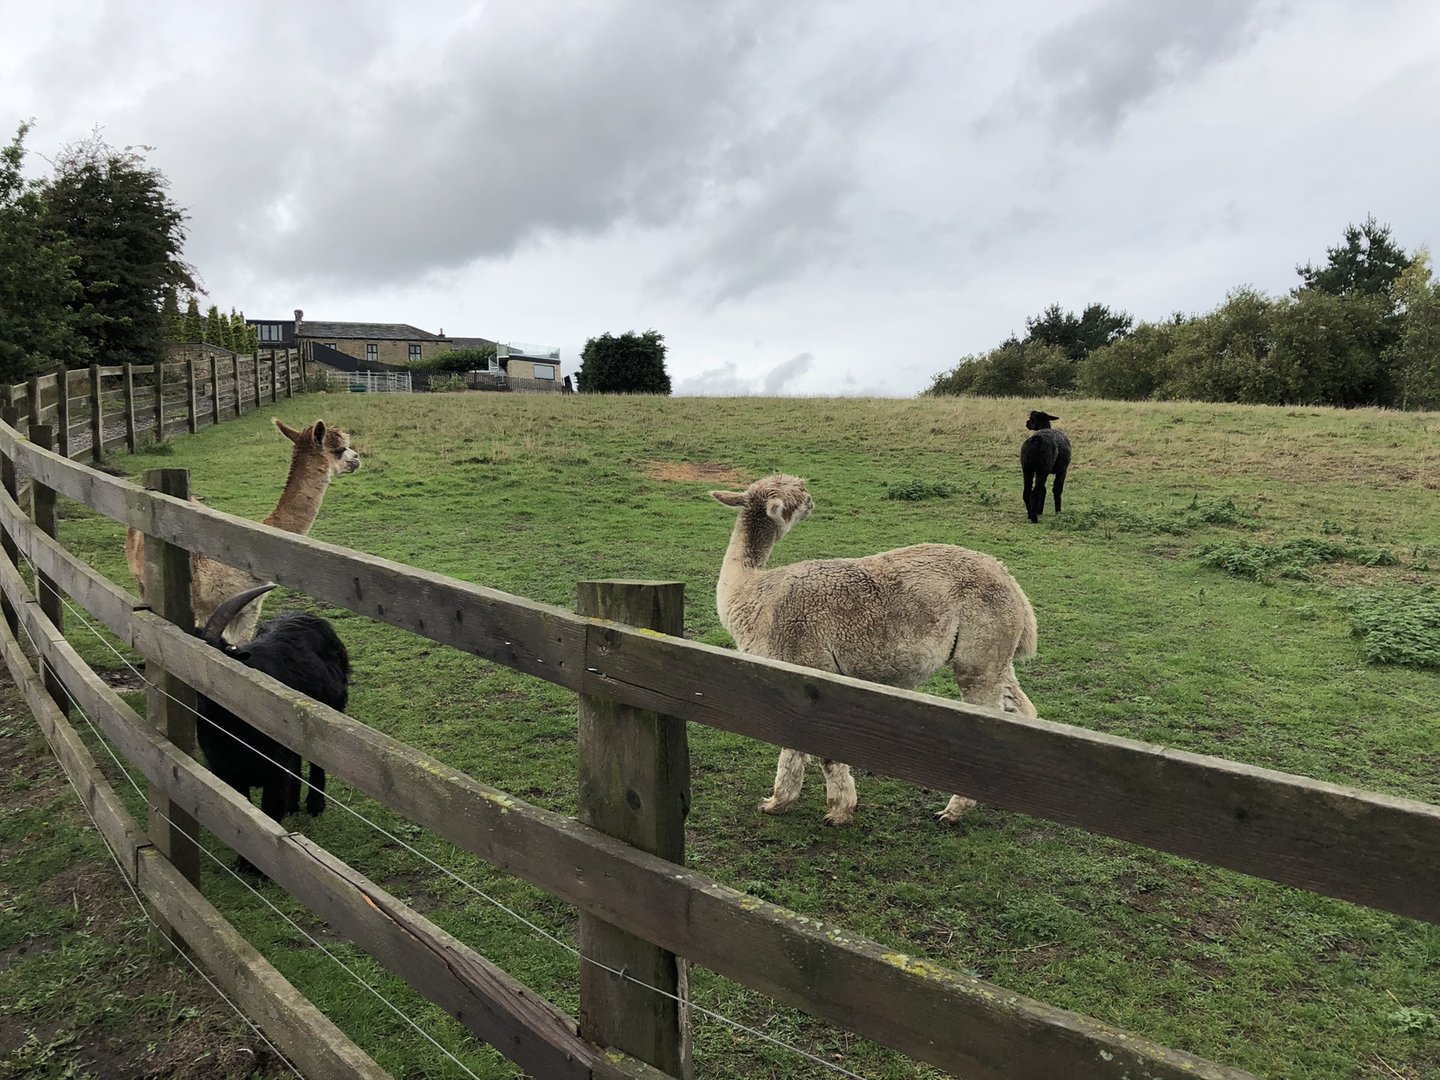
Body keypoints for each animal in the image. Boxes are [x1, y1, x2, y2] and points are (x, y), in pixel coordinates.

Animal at [194, 585, 349, 871]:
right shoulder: (227, 771)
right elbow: (244, 814)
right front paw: (245, 863)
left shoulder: (274, 768)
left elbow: (268, 809)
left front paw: (258, 869)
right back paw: (293, 804)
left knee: (316, 763)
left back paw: (315, 804)